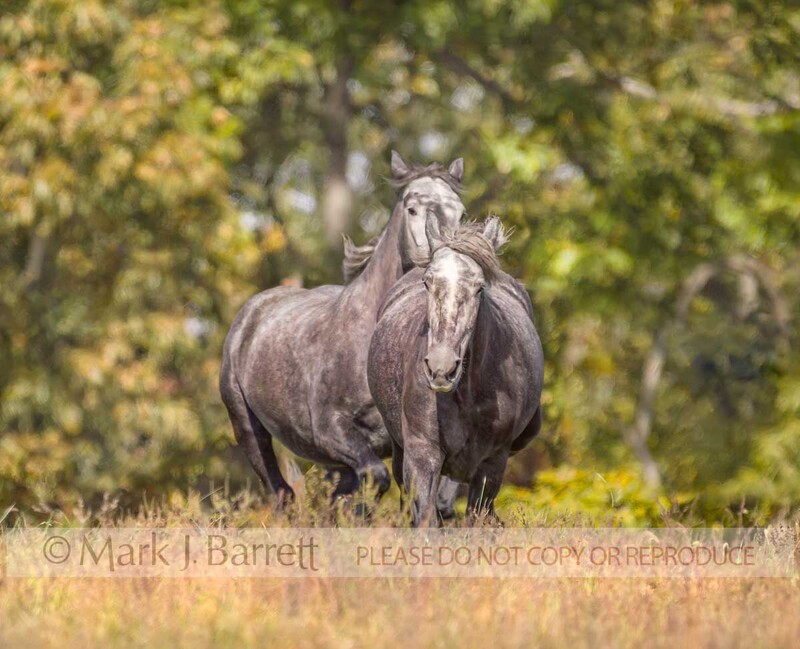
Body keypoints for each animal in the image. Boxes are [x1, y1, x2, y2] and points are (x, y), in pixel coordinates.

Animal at [220, 151, 466, 507]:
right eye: (412, 209)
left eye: (460, 211)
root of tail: (252, 311)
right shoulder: (330, 430)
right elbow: (375, 479)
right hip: (247, 427)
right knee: (281, 491)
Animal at [367, 215, 544, 526]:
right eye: (428, 282)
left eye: (479, 287)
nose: (441, 368)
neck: (468, 394)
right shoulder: (422, 453)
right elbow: (426, 517)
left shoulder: (492, 463)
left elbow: (476, 516)